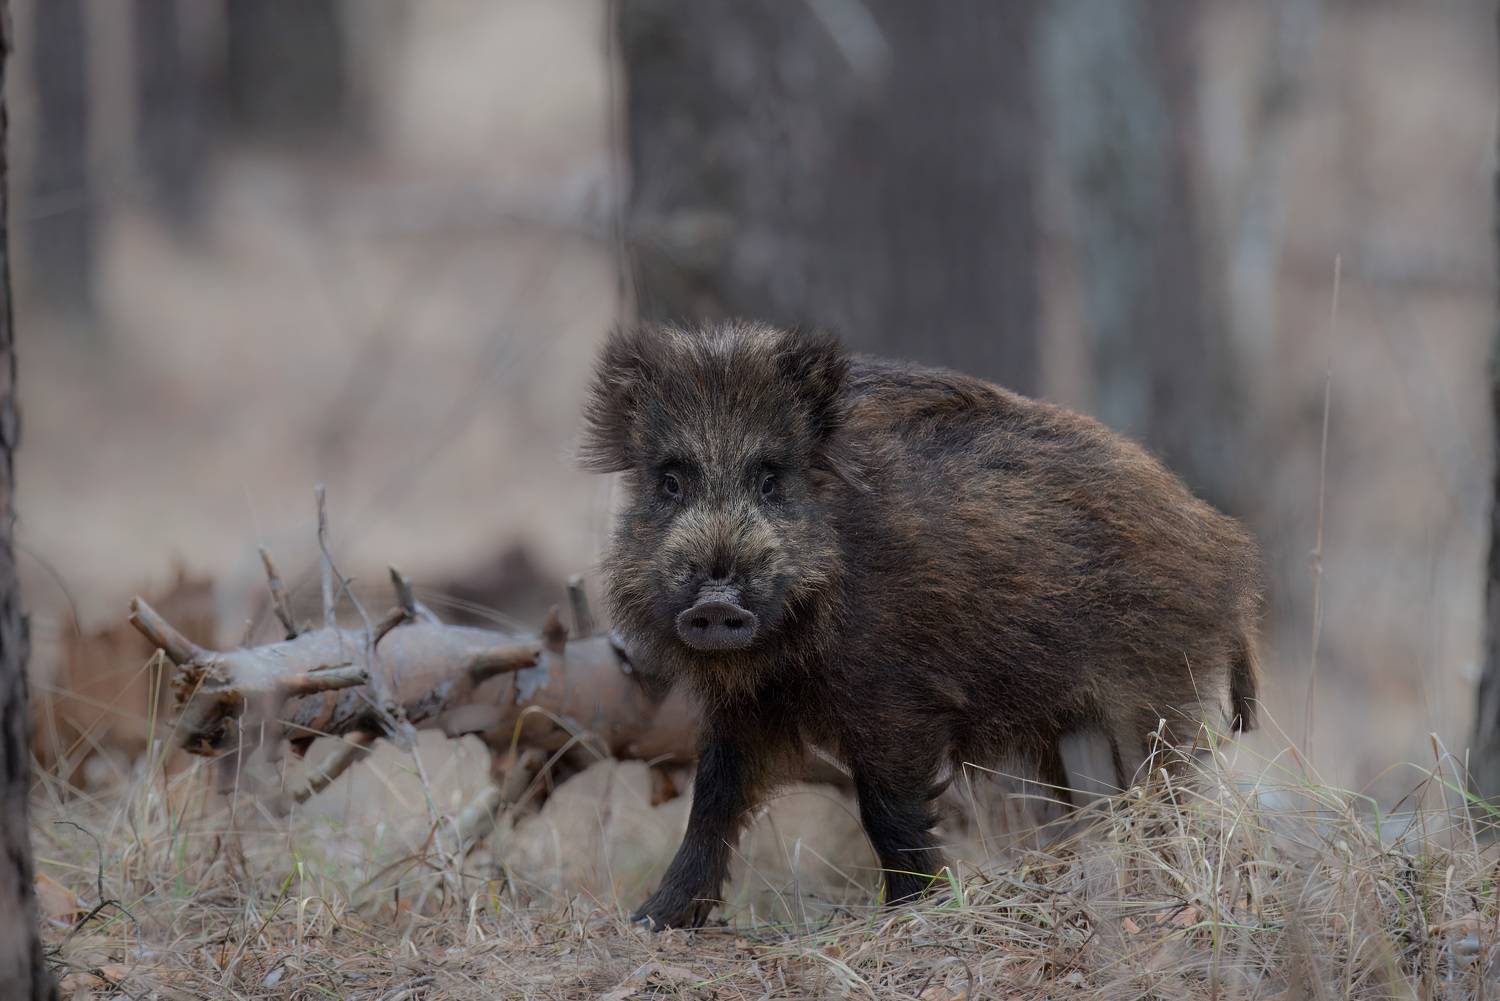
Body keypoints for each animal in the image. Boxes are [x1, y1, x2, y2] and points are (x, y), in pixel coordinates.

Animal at [580, 320, 1262, 929]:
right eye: (670, 481)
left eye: (771, 479)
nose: (717, 602)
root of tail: (1229, 554)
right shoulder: (740, 707)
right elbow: (712, 800)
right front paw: (652, 921)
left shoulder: (896, 698)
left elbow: (885, 808)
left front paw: (911, 909)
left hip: (1149, 695)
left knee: (1161, 790)